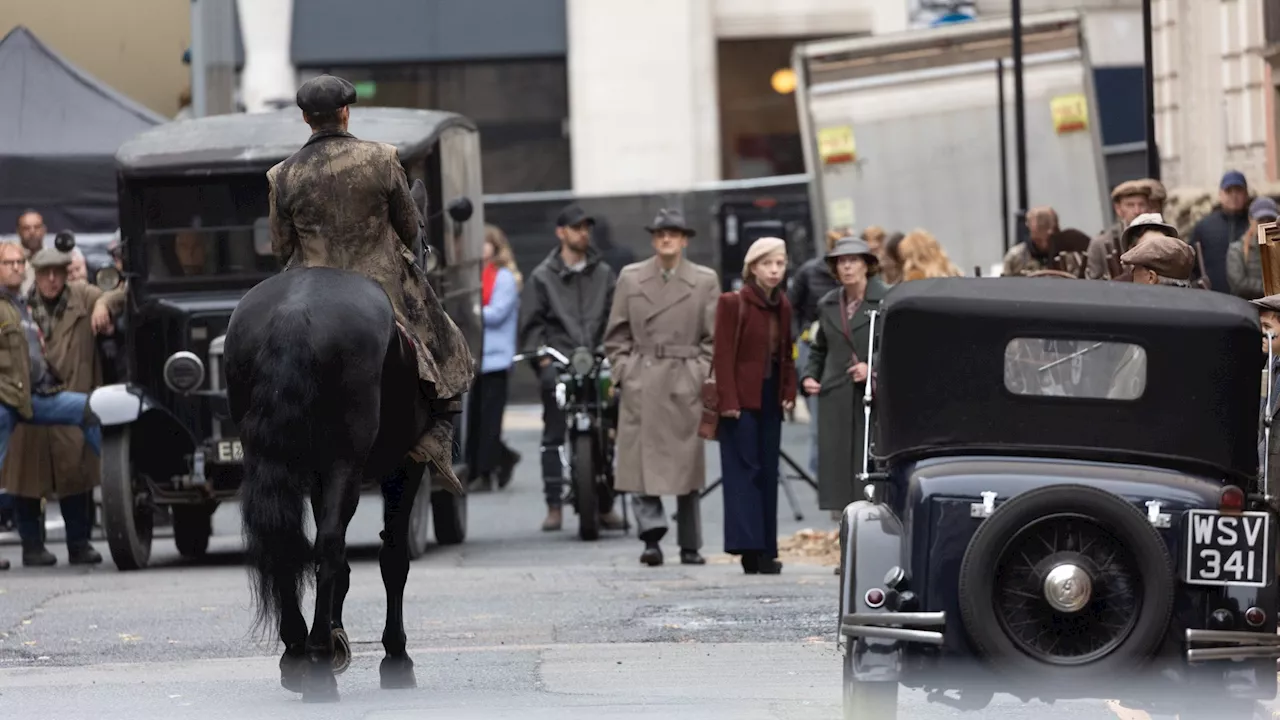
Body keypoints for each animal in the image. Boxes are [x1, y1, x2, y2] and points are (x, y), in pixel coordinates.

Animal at [224, 262, 435, 696]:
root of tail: (293, 311)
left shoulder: (319, 475)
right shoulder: (407, 463)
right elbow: (393, 557)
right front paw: (396, 657)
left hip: (271, 456)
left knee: (286, 543)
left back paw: (297, 652)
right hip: (346, 460)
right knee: (330, 544)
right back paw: (319, 663)